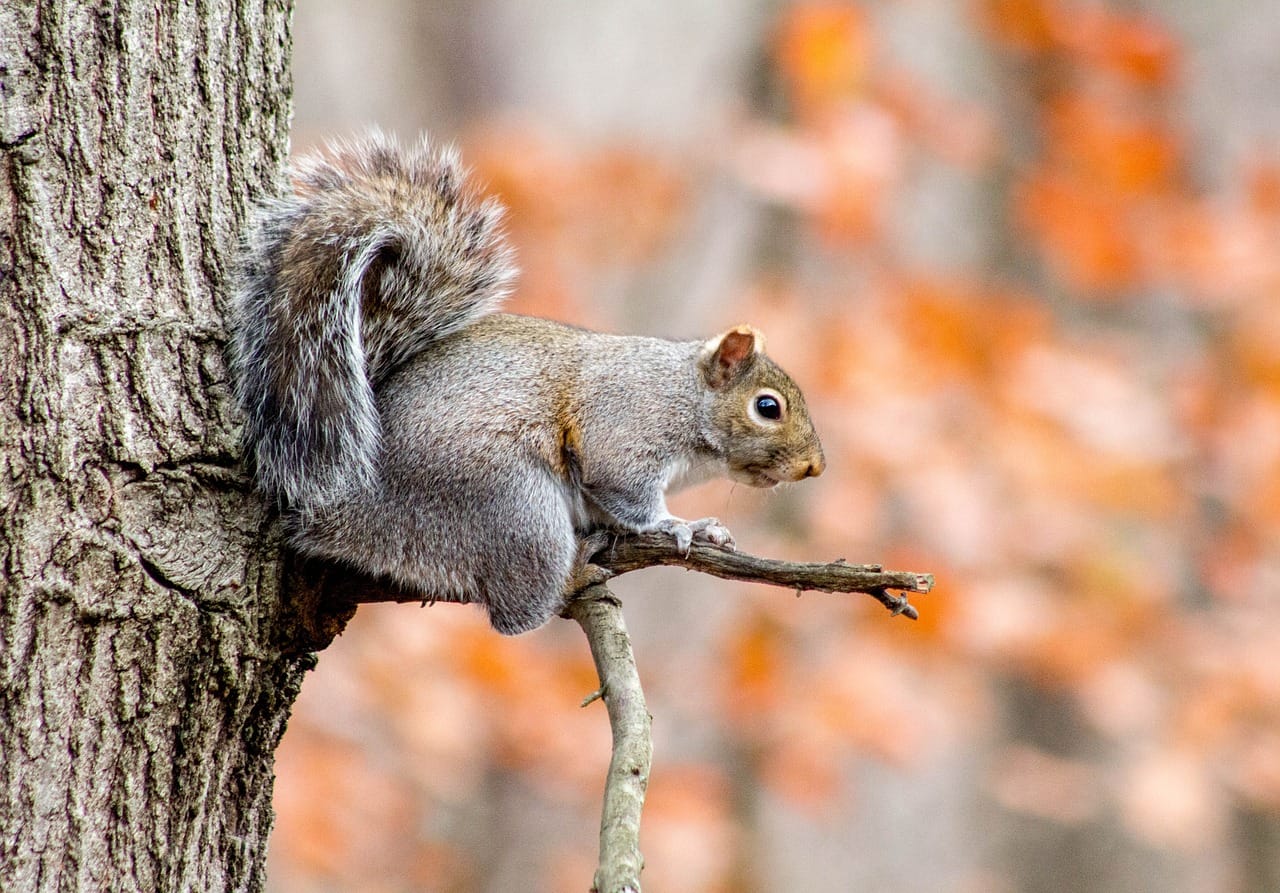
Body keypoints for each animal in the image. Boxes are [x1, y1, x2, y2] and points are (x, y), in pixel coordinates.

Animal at [229, 132, 825, 635]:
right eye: (767, 407)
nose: (814, 467)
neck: (682, 394)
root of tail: (338, 515)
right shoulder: (625, 424)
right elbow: (626, 491)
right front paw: (679, 526)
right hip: (514, 507)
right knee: (516, 613)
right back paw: (575, 572)